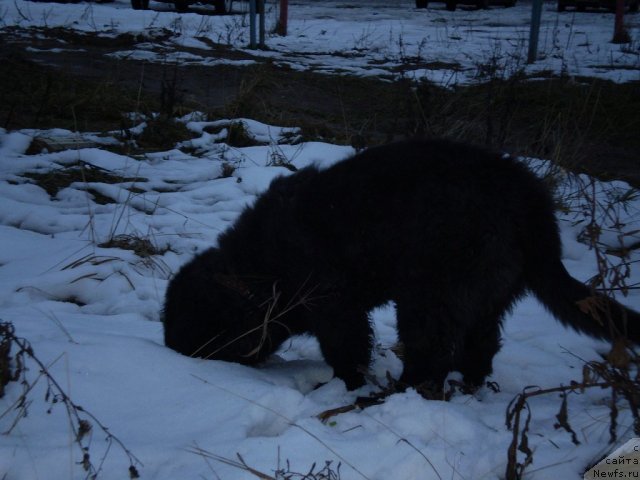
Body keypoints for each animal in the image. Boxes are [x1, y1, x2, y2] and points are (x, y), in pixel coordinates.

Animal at [162, 138, 636, 390]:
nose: (176, 354)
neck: (257, 267)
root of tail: (527, 195)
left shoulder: (332, 302)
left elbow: (347, 348)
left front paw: (347, 386)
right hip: (488, 295)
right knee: (480, 348)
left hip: (432, 293)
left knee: (430, 353)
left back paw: (399, 393)